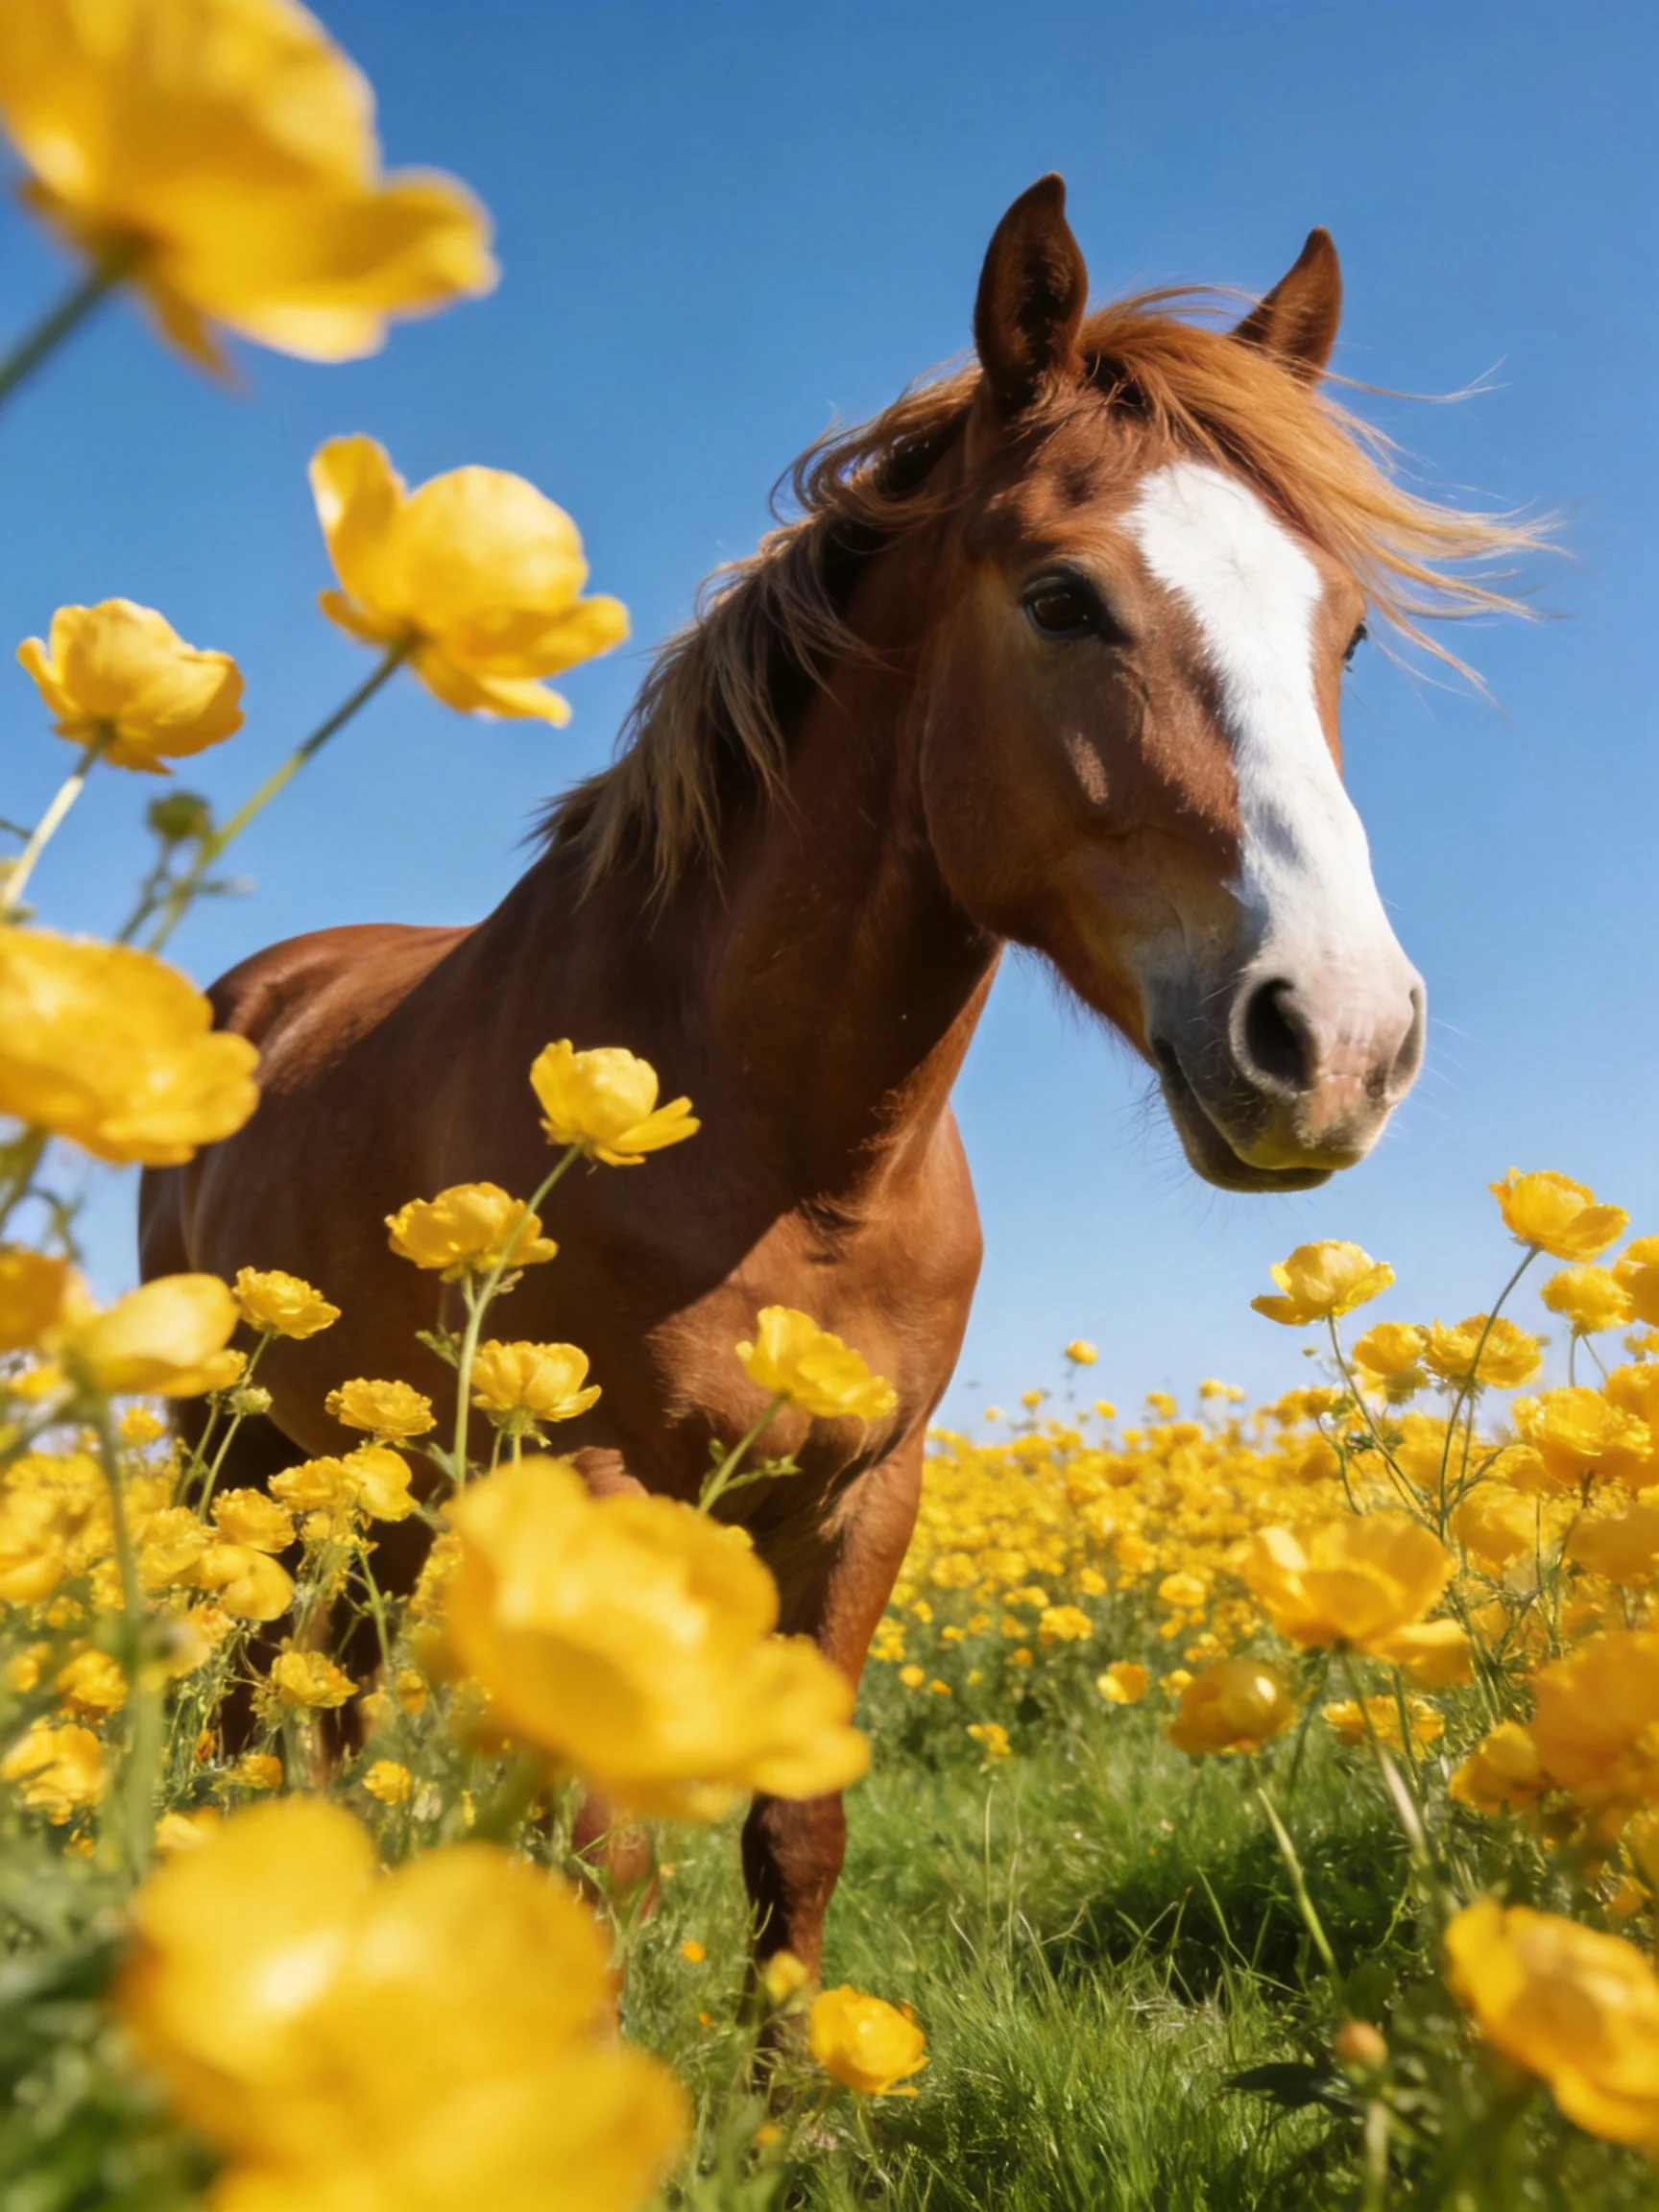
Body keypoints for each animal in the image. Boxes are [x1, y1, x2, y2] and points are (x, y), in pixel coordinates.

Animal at [140, 176, 1536, 1971]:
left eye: (1345, 633)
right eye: (1061, 597)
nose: (1338, 1040)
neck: (795, 1160)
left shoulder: (870, 1496)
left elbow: (794, 1833)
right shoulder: (582, 1485)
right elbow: (608, 1859)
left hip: (365, 1476)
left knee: (327, 1706)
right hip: (230, 1447)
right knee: (250, 1700)